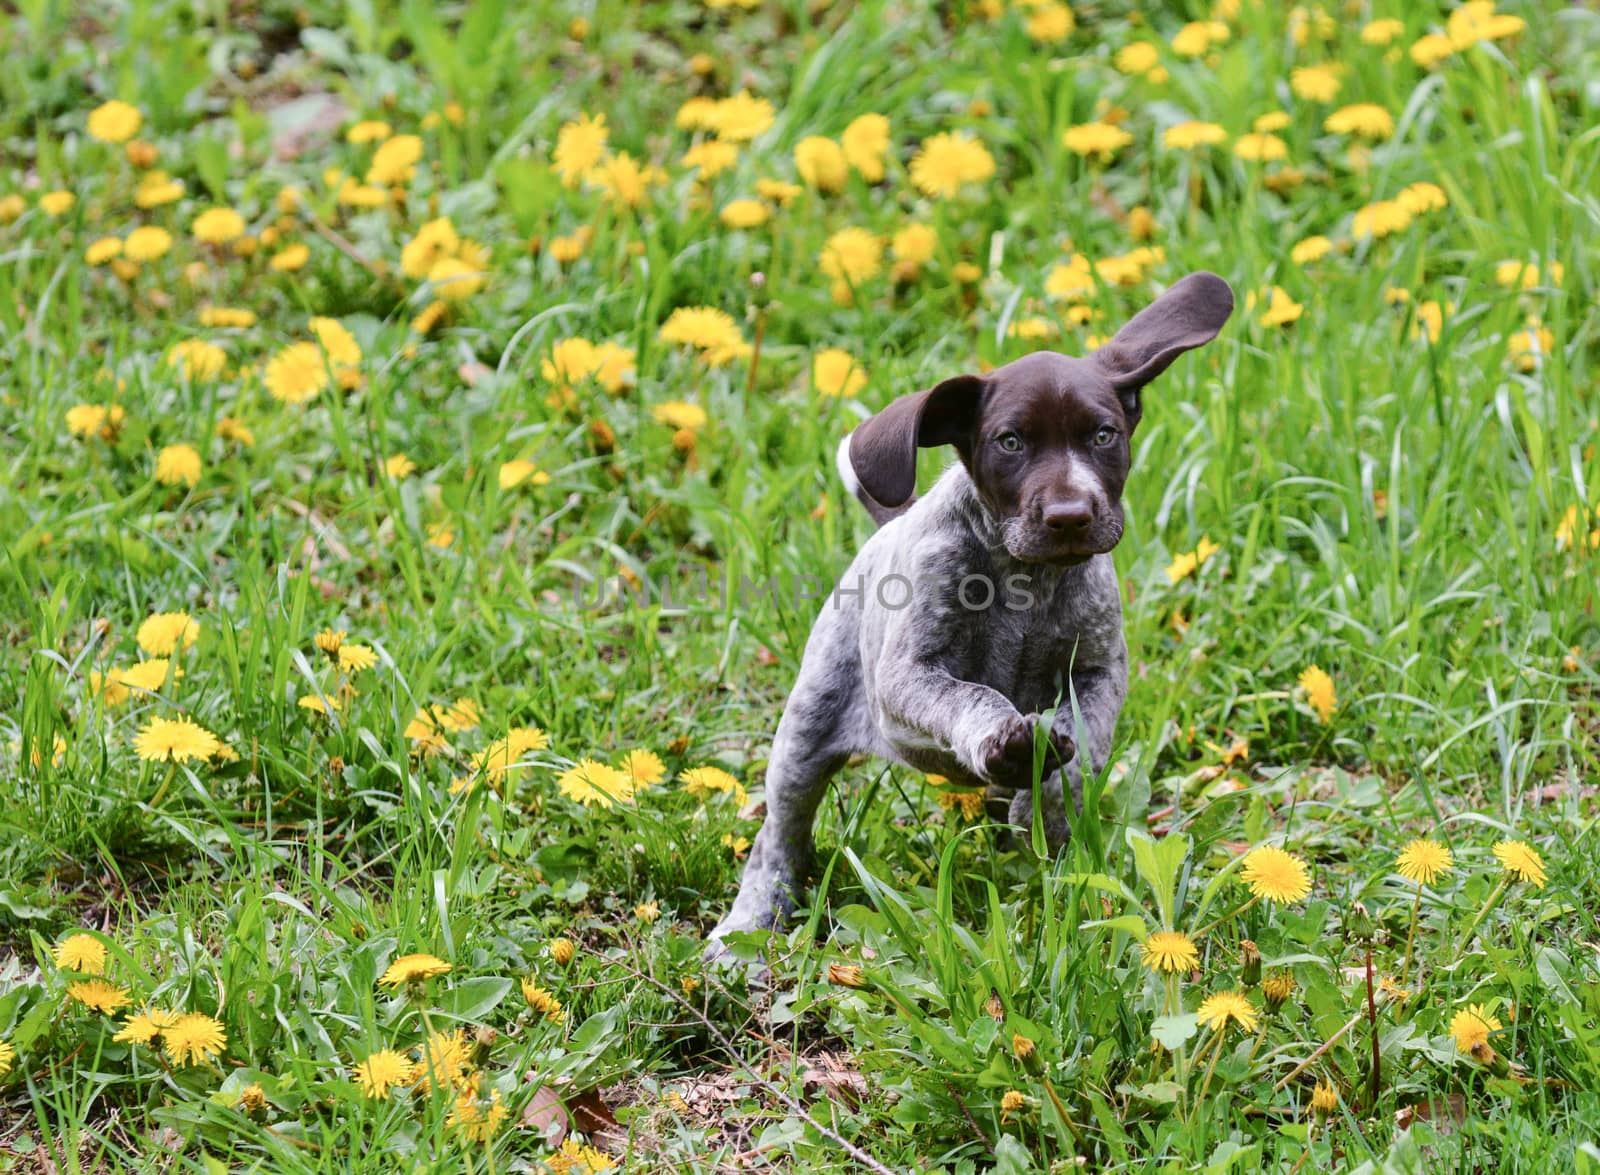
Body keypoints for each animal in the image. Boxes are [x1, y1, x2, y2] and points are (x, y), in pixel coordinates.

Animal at [713, 273, 1235, 960]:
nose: (1070, 516)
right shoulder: (906, 678)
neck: (1027, 579)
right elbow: (969, 695)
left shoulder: (1099, 673)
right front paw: (1003, 741)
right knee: (780, 835)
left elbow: (1083, 742)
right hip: (806, 728)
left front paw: (1045, 799)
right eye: (1010, 442)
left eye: (1103, 435)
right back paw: (752, 919)